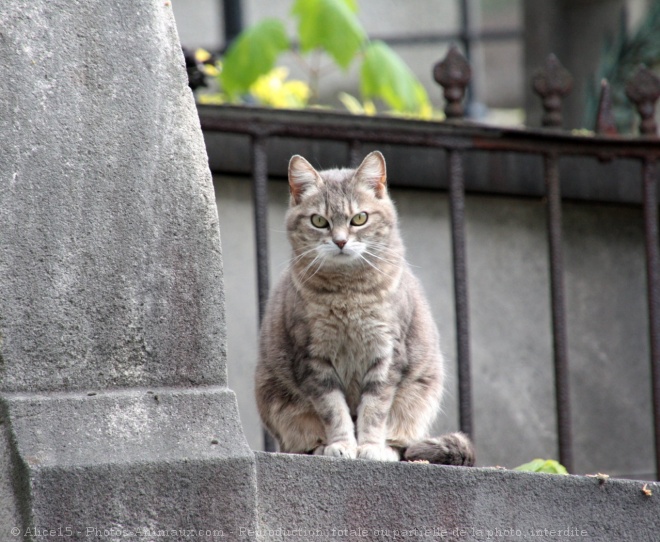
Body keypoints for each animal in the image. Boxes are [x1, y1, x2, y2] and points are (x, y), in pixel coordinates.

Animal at [253, 152, 474, 468]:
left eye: (359, 218)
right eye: (319, 221)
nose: (340, 241)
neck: (348, 294)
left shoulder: (387, 352)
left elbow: (375, 409)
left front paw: (369, 447)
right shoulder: (313, 357)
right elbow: (334, 410)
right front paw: (342, 445)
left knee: (402, 442)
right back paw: (320, 447)